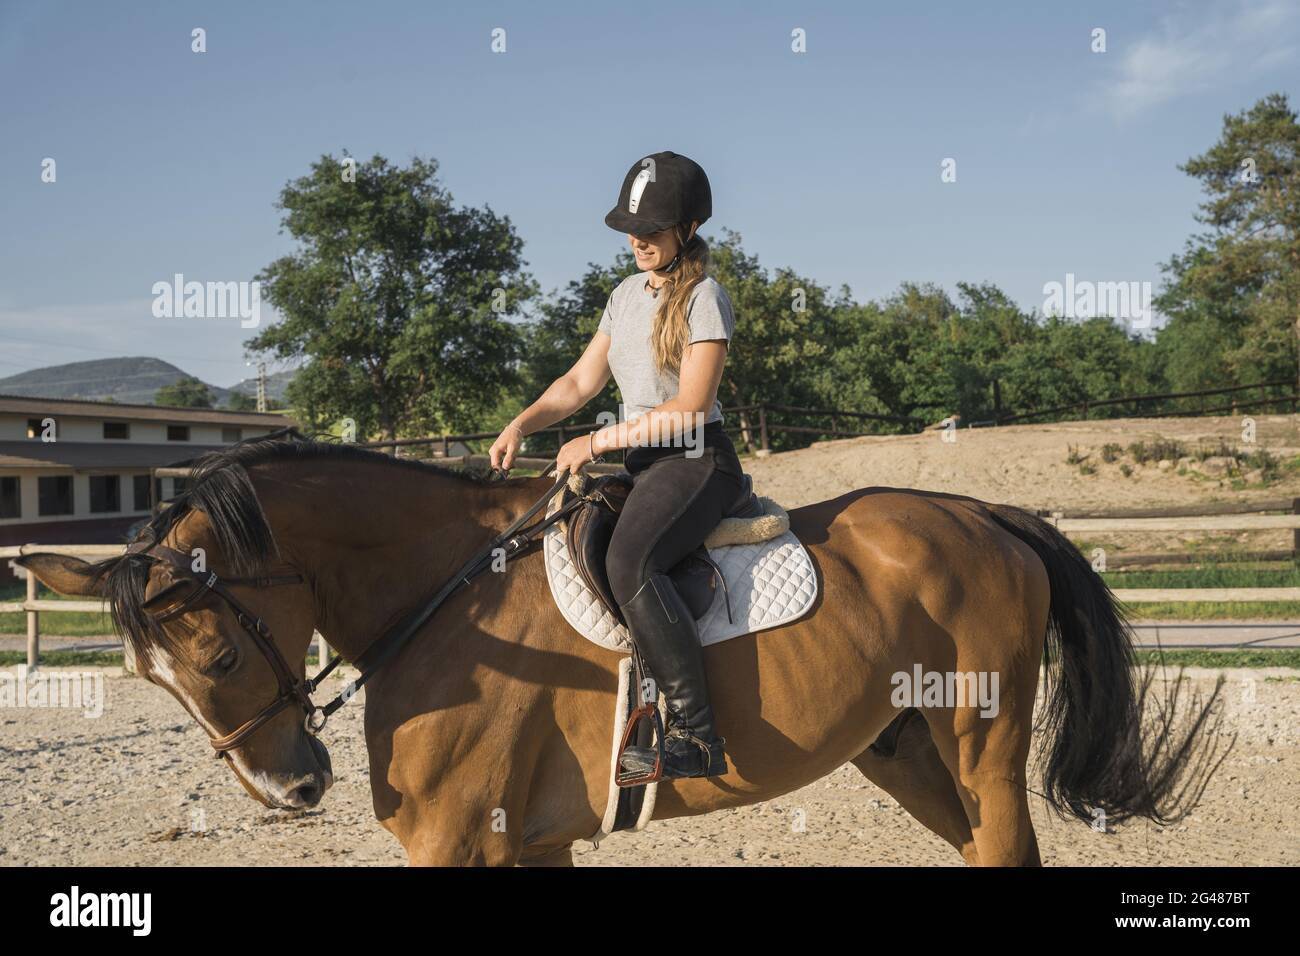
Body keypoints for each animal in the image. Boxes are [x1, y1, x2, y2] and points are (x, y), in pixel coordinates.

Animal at [16, 438, 1224, 866]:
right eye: (154, 682)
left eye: (216, 656)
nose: (290, 789)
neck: (441, 596)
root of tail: (984, 514)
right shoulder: (528, 838)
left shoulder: (454, 838)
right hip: (910, 753)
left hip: (981, 742)